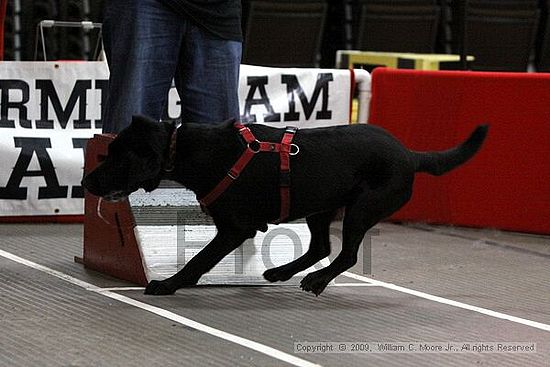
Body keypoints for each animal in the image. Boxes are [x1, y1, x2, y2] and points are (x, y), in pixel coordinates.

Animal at [83, 116, 492, 298]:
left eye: (117, 157)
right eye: (109, 151)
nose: (86, 183)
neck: (189, 150)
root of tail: (409, 155)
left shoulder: (235, 227)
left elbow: (200, 259)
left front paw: (168, 284)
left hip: (362, 207)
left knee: (345, 254)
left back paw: (316, 281)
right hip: (320, 207)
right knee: (321, 246)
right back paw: (281, 273)